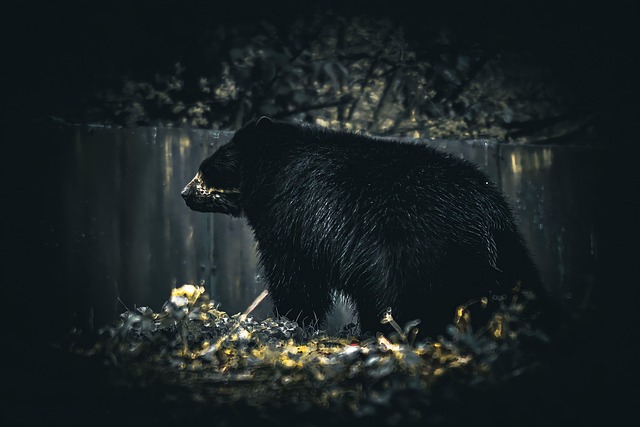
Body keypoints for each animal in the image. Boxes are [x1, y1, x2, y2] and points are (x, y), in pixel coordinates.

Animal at [181, 117, 552, 337]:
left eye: (205, 169)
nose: (185, 193)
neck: (272, 171)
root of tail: (487, 209)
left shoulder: (293, 216)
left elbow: (296, 276)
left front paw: (290, 323)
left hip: (420, 249)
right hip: (504, 250)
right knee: (521, 288)